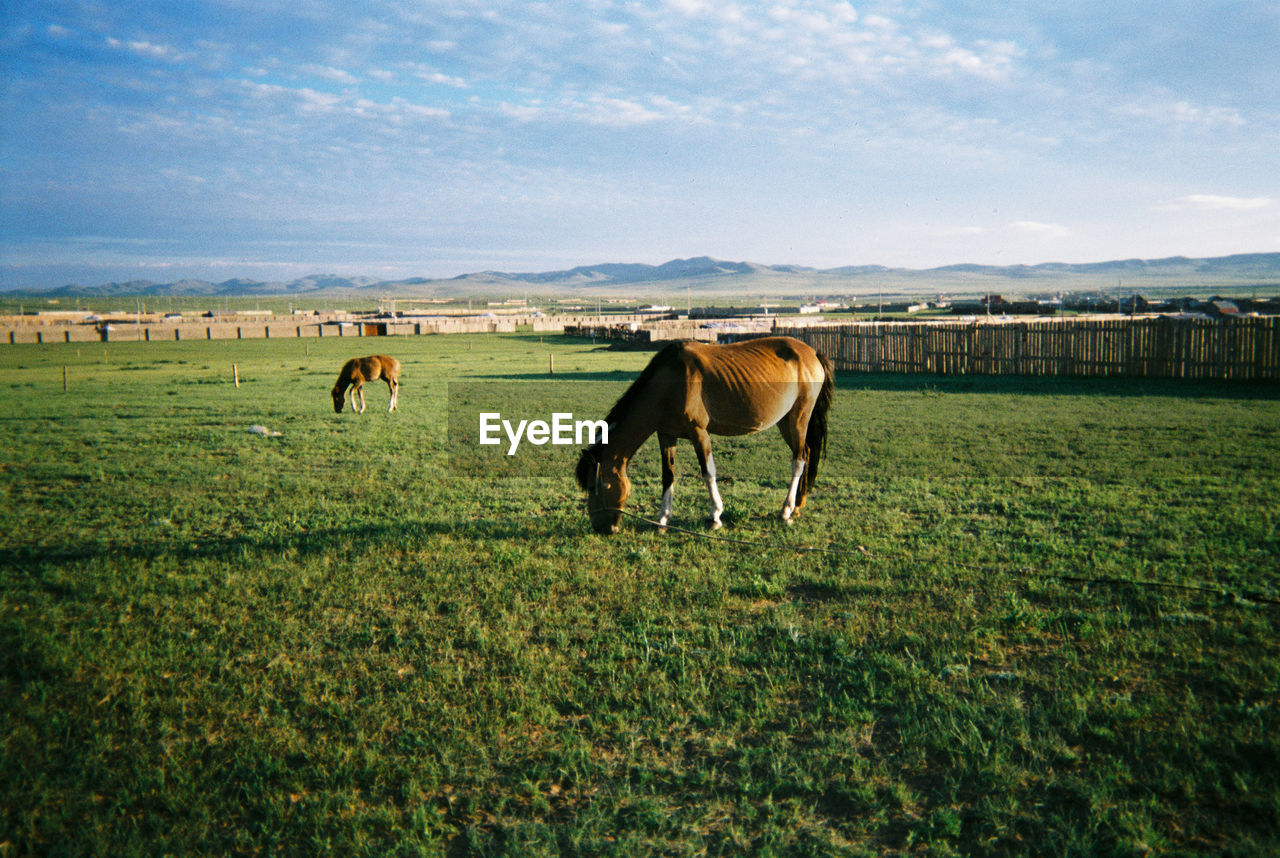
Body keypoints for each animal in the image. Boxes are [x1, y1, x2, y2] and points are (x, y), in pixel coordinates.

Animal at [576, 338, 834, 535]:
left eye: (593, 486)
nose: (600, 528)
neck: (668, 383)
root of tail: (812, 353)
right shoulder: (666, 435)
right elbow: (668, 476)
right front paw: (662, 520)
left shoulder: (699, 433)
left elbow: (708, 473)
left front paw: (715, 516)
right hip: (786, 422)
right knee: (806, 454)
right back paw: (798, 506)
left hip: (798, 419)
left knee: (798, 460)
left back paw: (786, 510)